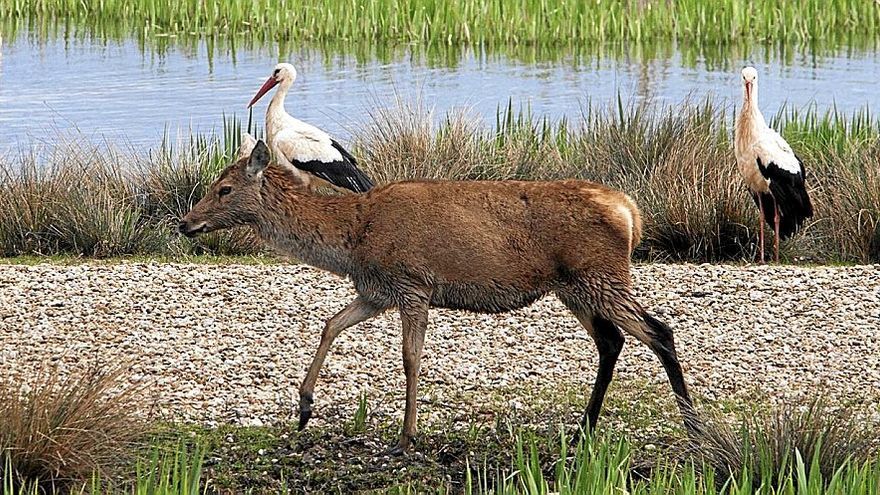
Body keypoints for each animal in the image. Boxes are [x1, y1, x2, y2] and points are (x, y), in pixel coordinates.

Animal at [179, 136, 696, 454]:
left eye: (224, 188)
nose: (186, 223)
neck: (351, 241)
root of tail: (632, 212)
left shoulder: (412, 284)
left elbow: (411, 358)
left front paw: (406, 435)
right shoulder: (376, 291)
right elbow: (330, 324)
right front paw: (304, 408)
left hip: (600, 276)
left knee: (660, 331)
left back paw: (691, 425)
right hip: (574, 286)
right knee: (612, 341)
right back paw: (581, 430)